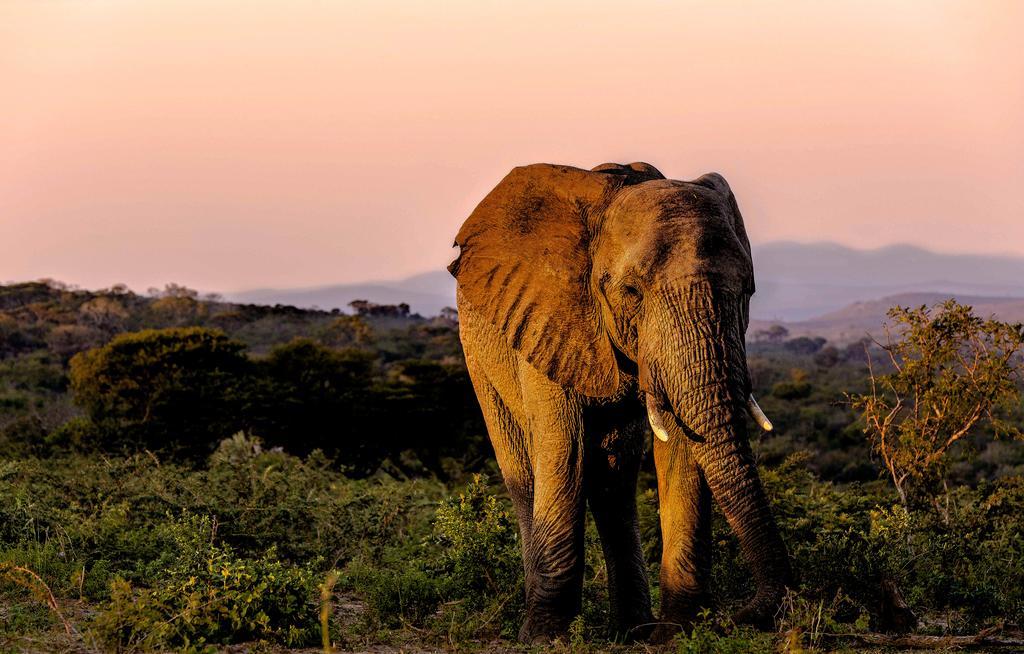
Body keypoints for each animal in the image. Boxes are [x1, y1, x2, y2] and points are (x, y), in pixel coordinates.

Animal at [448, 161, 790, 642]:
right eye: (632, 293)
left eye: (748, 292)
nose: (737, 616)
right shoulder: (547, 320)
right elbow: (564, 449)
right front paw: (547, 637)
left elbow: (681, 446)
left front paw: (676, 632)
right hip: (478, 352)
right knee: (525, 471)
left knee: (615, 476)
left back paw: (632, 629)